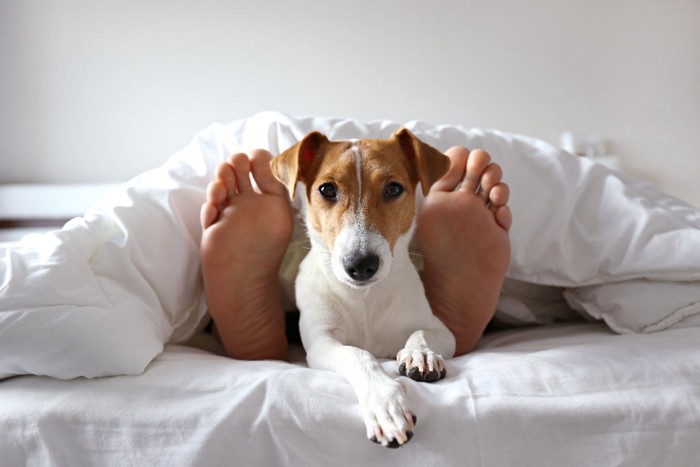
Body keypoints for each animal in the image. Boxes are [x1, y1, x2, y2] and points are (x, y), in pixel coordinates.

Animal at [270, 129, 456, 450]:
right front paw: (385, 402)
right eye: (326, 190)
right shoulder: (322, 342)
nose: (360, 264)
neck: (365, 298)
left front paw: (420, 354)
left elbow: (421, 334)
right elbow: (358, 355)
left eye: (393, 189)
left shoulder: (441, 330)